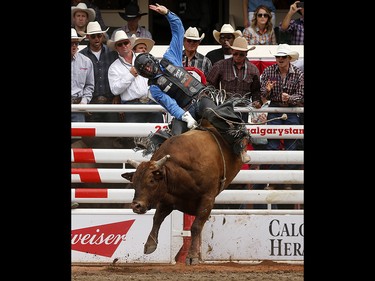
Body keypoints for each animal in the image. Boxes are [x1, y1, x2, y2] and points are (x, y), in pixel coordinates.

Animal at [122, 120, 245, 264]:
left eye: (151, 180)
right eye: (134, 182)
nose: (136, 206)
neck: (180, 174)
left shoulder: (208, 198)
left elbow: (196, 226)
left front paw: (192, 256)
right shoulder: (167, 199)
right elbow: (157, 218)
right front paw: (150, 244)